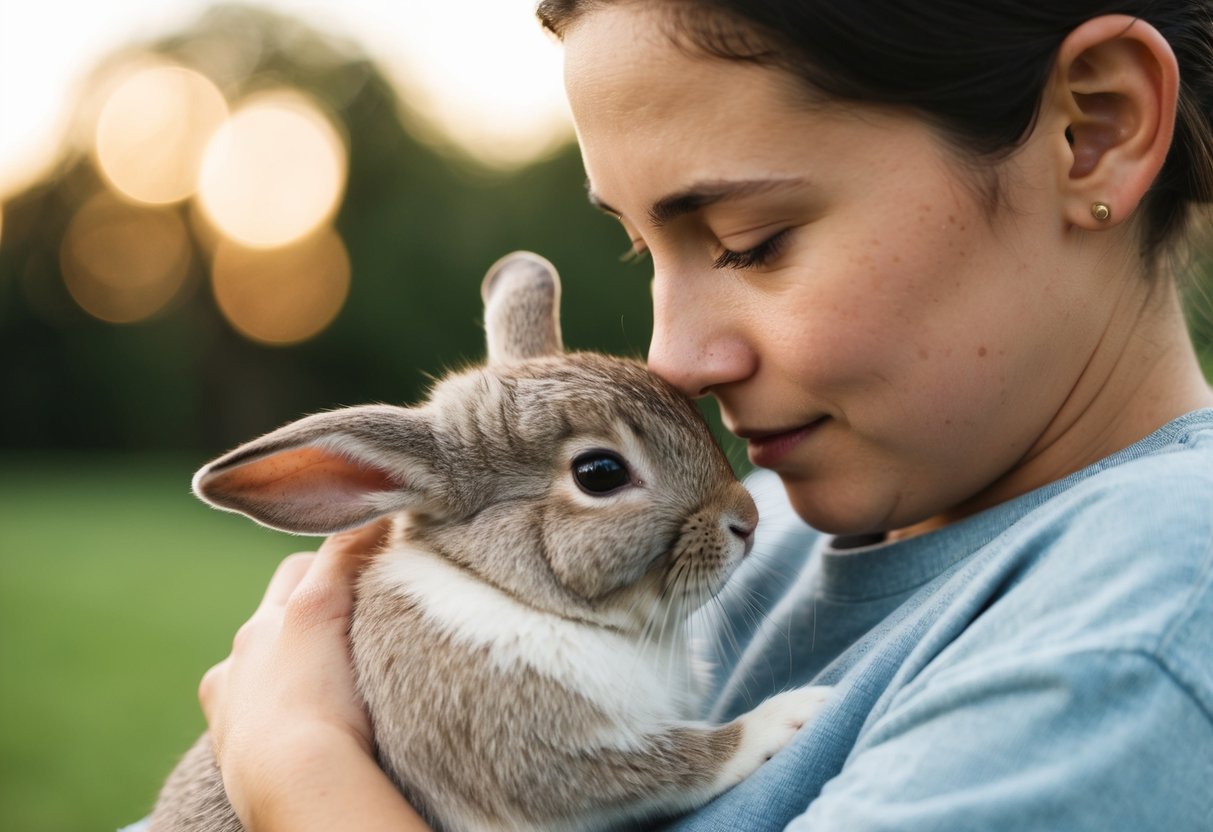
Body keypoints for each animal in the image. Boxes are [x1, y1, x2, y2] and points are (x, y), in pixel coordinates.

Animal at [148, 252, 832, 832]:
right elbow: (676, 760)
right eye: (600, 473)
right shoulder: (533, 755)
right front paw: (791, 713)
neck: (518, 594)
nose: (746, 520)